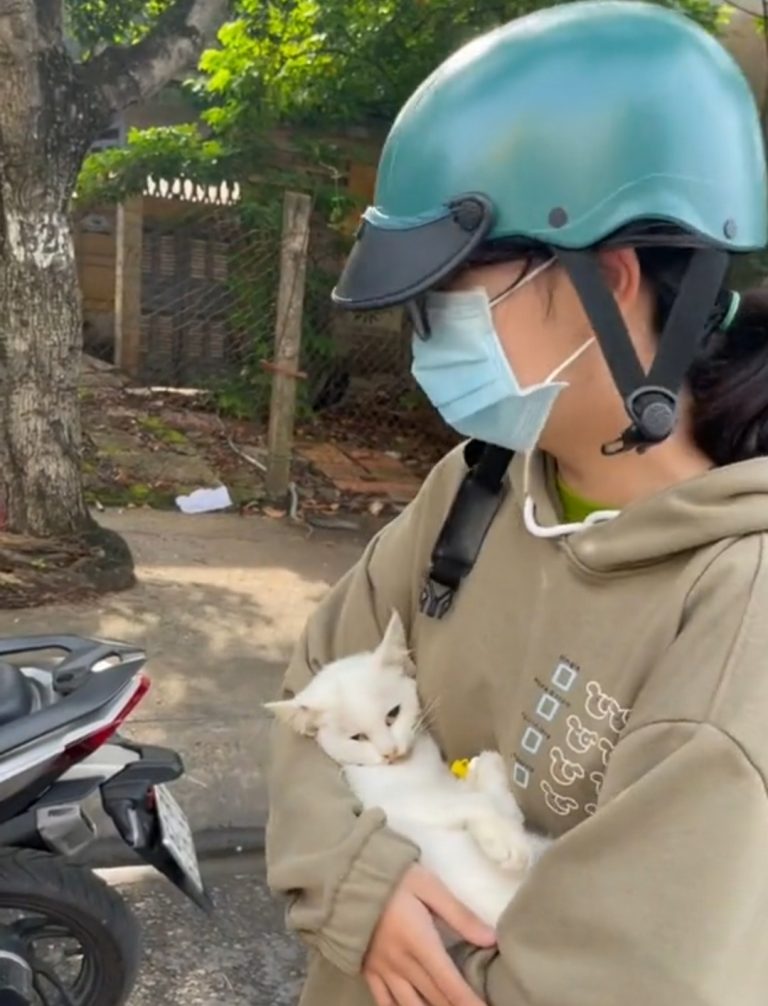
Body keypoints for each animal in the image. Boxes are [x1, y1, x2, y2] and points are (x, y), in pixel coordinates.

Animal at [265, 610, 550, 928]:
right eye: (358, 737)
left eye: (393, 714)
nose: (390, 751)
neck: (415, 766)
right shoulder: (403, 806)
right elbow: (476, 803)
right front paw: (510, 845)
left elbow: (505, 808)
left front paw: (488, 769)